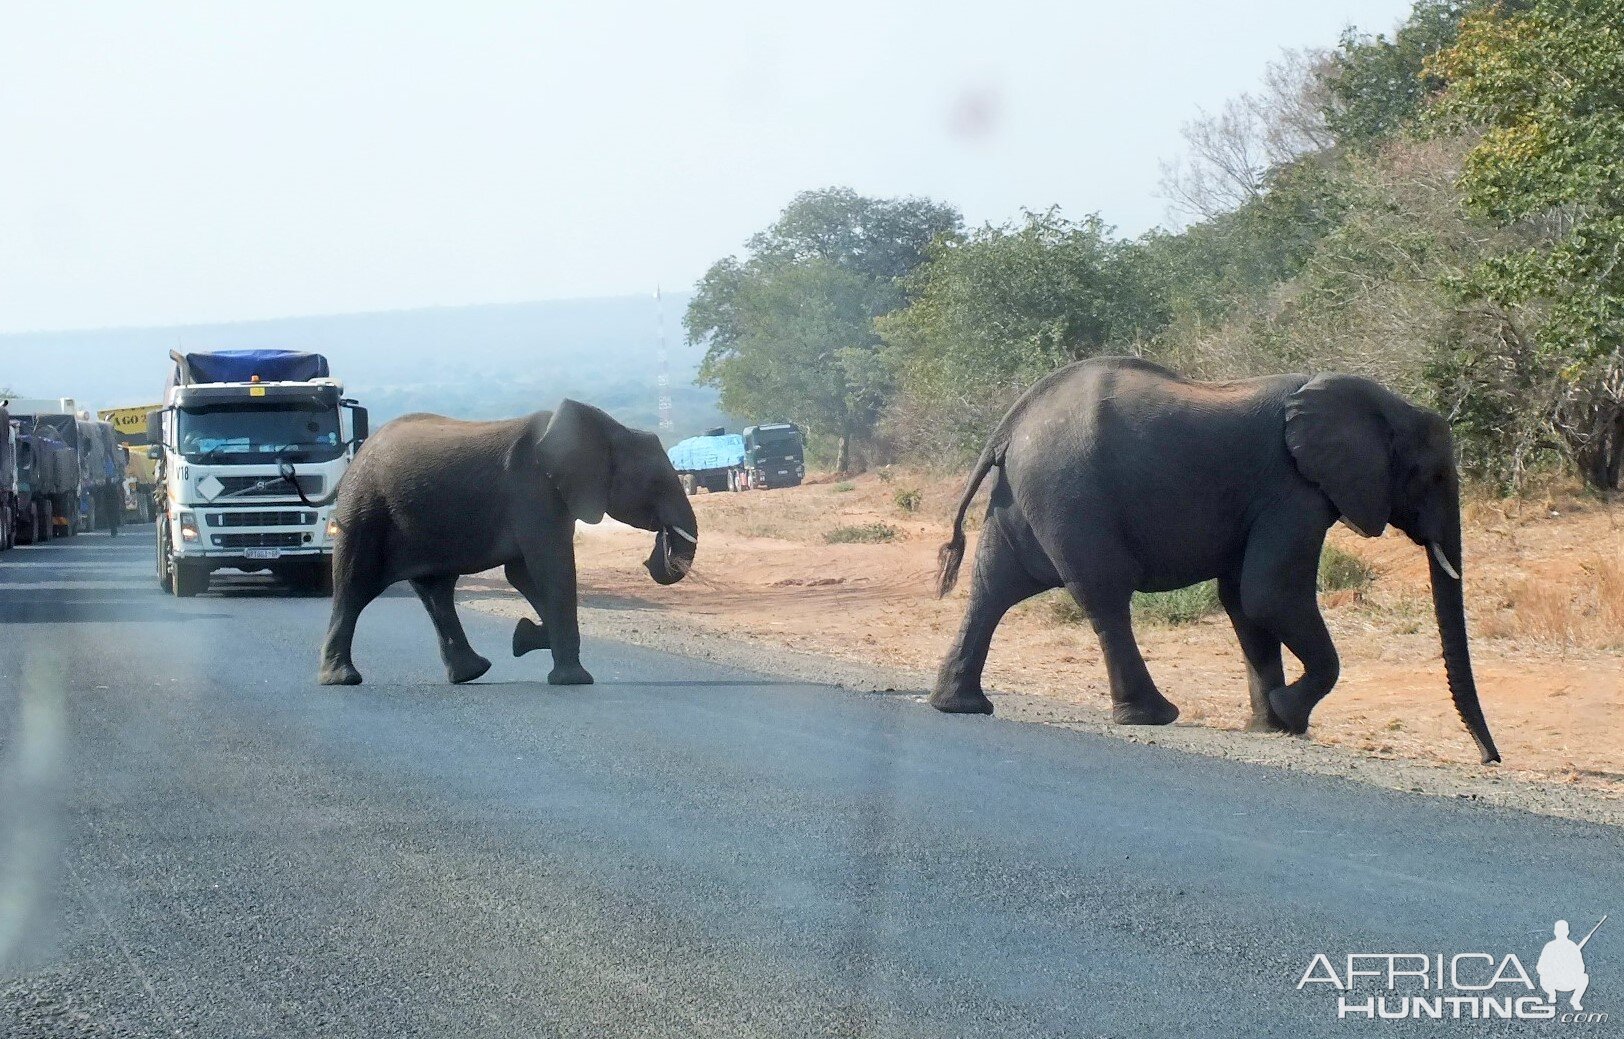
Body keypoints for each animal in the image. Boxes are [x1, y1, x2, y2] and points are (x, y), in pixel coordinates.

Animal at [318, 402, 698, 685]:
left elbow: (524, 574)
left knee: (436, 591)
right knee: (354, 586)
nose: (655, 552)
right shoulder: (533, 491)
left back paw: (472, 673)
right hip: (366, 511)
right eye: (657, 483)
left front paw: (525, 637)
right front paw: (573, 679)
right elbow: (552, 569)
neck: (606, 430)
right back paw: (342, 679)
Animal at [935, 357, 1500, 763]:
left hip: (1024, 496)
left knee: (994, 589)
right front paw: (1288, 715)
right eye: (1433, 476)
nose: (1489, 760)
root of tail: (1010, 423)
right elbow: (1270, 594)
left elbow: (1245, 602)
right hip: (1070, 496)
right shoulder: (1292, 490)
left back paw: (959, 706)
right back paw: (1154, 715)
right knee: (1105, 598)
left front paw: (1271, 725)